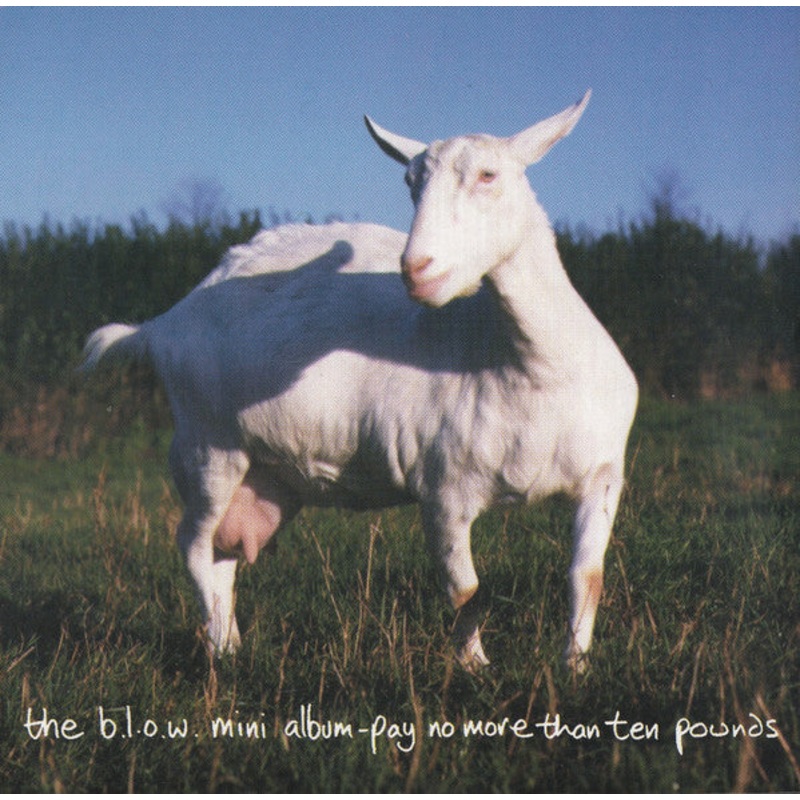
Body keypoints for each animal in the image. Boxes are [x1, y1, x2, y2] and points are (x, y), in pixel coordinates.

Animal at [82, 91, 638, 672]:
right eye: (410, 182)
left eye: (489, 175)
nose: (417, 269)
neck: (528, 367)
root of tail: (163, 323)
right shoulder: (443, 490)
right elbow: (466, 591)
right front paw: (476, 670)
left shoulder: (603, 477)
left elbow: (586, 577)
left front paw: (575, 666)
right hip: (206, 446)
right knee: (192, 542)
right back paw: (220, 651)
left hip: (263, 471)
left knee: (221, 553)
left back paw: (232, 644)